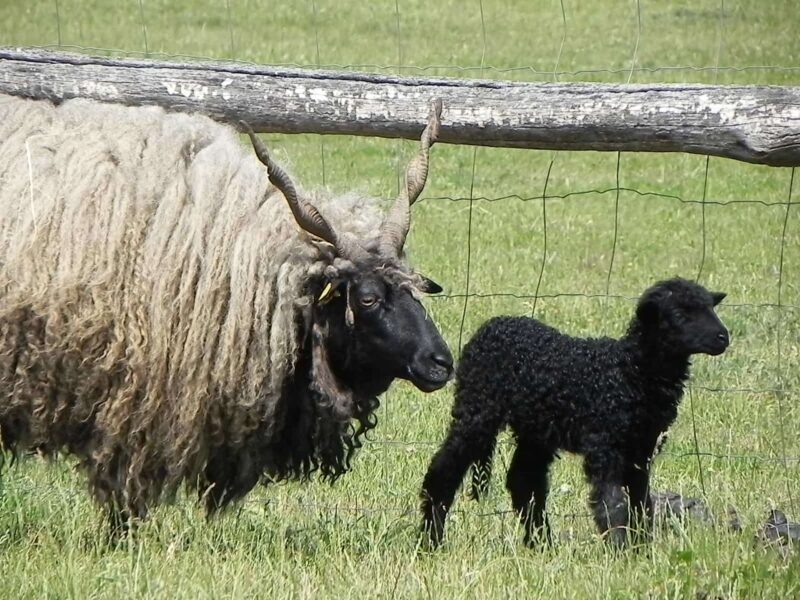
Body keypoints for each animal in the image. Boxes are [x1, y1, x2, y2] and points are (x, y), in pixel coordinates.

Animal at [418, 276, 732, 548]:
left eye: (710, 307)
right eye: (679, 314)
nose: (723, 337)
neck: (631, 372)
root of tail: (492, 324)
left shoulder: (640, 450)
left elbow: (641, 503)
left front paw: (641, 548)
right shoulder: (605, 443)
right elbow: (612, 502)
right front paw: (620, 548)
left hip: (535, 429)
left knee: (524, 481)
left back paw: (541, 544)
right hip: (477, 409)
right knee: (444, 469)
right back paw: (431, 539)